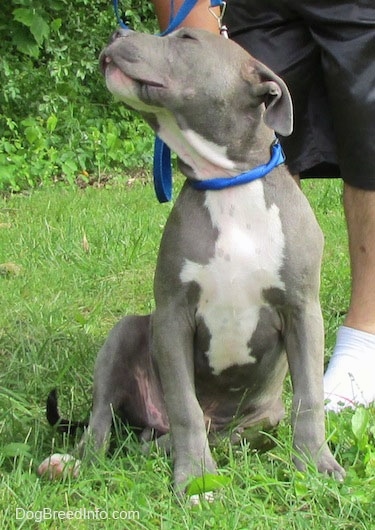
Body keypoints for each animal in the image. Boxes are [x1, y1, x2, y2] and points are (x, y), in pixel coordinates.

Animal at [39, 27, 346, 490]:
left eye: (186, 39)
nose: (118, 31)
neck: (228, 184)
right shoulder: (172, 315)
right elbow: (185, 406)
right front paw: (197, 478)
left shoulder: (302, 309)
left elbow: (309, 397)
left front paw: (314, 464)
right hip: (124, 334)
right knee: (103, 420)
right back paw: (74, 462)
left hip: (258, 419)